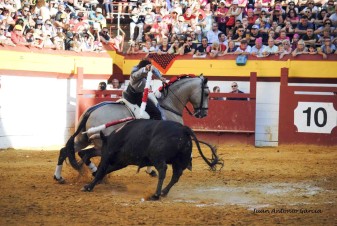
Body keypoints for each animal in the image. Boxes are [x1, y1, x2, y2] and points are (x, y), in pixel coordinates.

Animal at [68, 119, 220, 200]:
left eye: (105, 147)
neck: (111, 138)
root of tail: (184, 129)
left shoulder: (108, 156)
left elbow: (101, 170)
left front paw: (88, 187)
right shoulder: (121, 162)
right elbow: (105, 170)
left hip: (158, 157)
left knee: (163, 171)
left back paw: (156, 194)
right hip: (179, 161)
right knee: (176, 176)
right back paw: (163, 192)